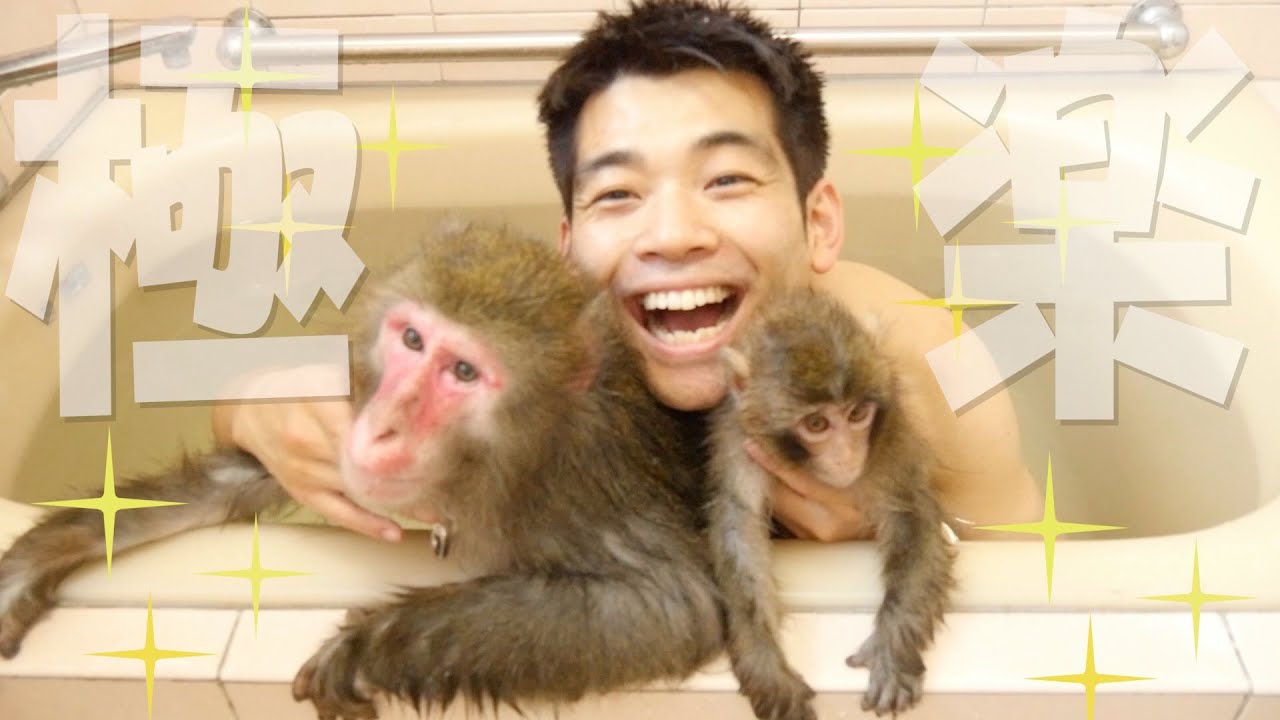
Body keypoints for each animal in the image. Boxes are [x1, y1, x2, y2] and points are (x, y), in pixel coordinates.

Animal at [0, 222, 733, 720]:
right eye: (411, 340)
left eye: (462, 371)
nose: (383, 427)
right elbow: (243, 480)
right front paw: (41, 555)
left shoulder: (589, 474)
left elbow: (664, 606)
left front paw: (366, 647)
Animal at [706, 286, 958, 719]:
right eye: (817, 424)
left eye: (856, 413)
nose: (845, 456)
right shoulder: (740, 440)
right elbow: (740, 523)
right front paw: (763, 659)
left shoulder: (888, 434)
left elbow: (911, 513)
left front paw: (894, 648)